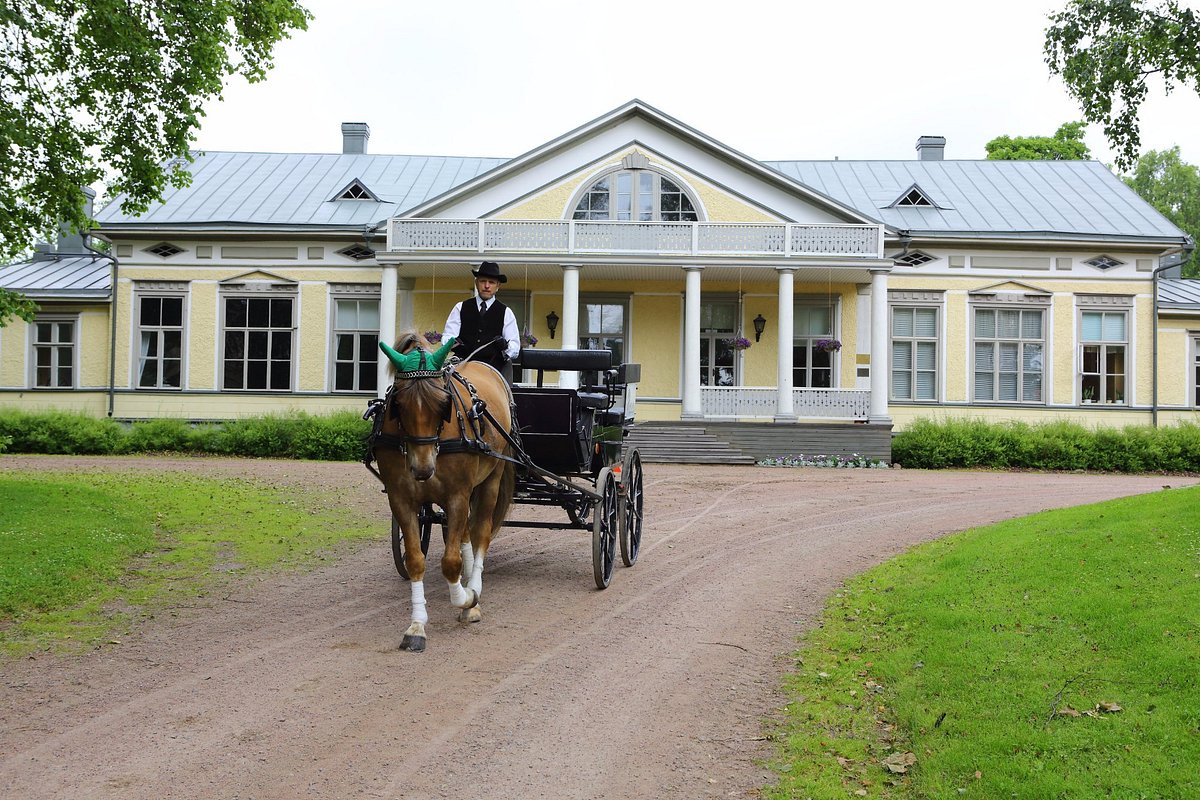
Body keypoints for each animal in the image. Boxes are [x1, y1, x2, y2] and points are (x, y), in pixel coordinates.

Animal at [367, 331, 513, 652]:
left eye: (443, 403)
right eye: (399, 404)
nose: (422, 469)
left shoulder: (457, 495)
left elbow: (450, 562)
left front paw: (467, 599)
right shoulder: (401, 498)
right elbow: (415, 559)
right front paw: (416, 626)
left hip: (490, 479)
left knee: (480, 532)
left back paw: (473, 591)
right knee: (466, 535)